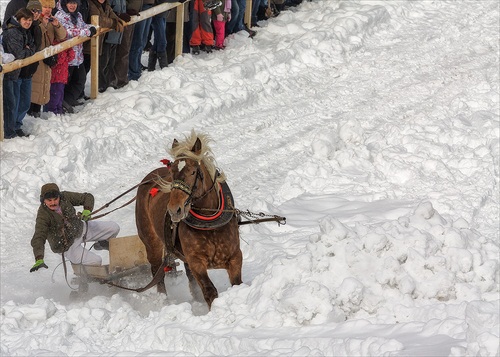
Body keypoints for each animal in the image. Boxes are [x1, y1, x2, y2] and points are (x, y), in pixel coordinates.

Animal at [134, 132, 241, 308]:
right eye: (172, 173)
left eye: (193, 172)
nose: (174, 209)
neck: (209, 224)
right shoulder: (196, 262)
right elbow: (210, 291)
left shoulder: (235, 257)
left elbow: (237, 284)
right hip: (152, 244)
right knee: (158, 274)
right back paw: (164, 301)